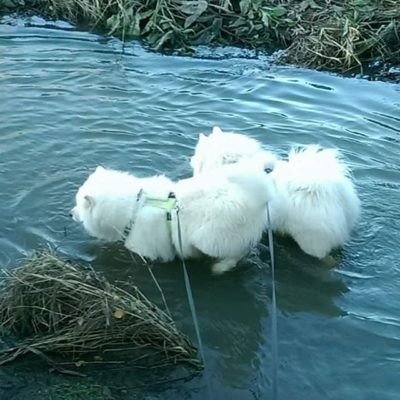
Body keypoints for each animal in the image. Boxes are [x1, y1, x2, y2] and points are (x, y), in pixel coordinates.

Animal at [71, 160, 276, 276]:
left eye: (78, 205)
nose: (70, 213)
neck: (134, 208)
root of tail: (257, 197)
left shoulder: (143, 250)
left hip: (209, 239)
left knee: (238, 253)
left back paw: (219, 268)